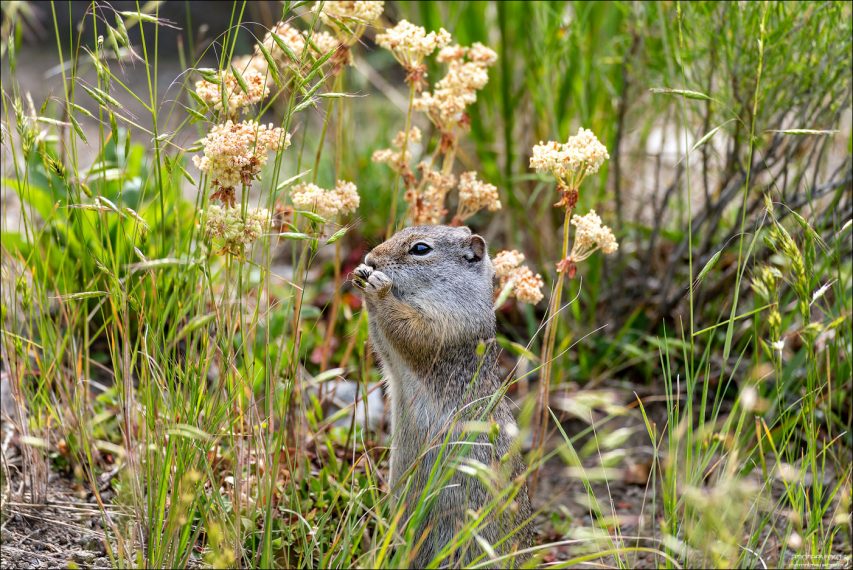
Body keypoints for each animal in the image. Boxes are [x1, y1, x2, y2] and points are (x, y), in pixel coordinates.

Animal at [353, 225, 532, 567]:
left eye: (421, 249)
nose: (371, 258)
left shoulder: (443, 328)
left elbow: (409, 331)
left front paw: (379, 288)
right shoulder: (392, 355)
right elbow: (384, 342)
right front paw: (361, 276)